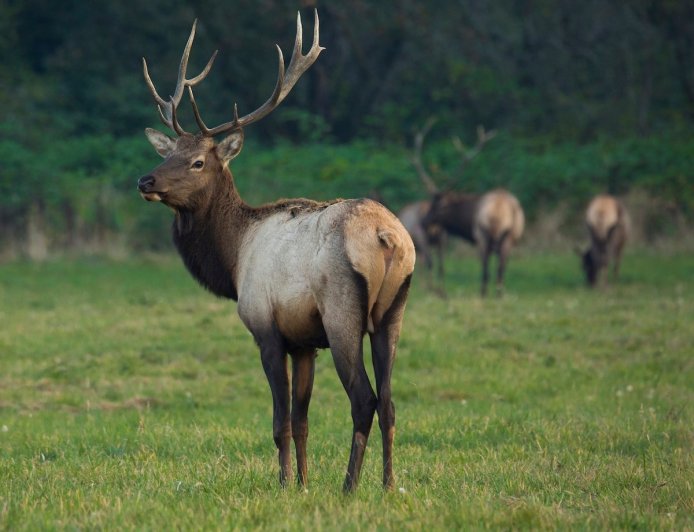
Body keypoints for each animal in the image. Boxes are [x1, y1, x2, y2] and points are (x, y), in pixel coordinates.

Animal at [136, 11, 415, 492]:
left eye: (197, 162)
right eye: (169, 152)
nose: (145, 181)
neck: (233, 259)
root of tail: (387, 237)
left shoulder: (266, 328)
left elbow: (279, 422)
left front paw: (284, 484)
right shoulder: (304, 342)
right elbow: (302, 422)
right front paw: (303, 482)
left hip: (342, 312)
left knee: (364, 398)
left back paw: (349, 486)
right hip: (391, 313)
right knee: (391, 402)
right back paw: (387, 483)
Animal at [409, 120, 524, 297]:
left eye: (439, 206)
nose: (423, 222)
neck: (466, 220)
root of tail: (503, 211)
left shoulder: (477, 235)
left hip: (484, 235)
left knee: (486, 269)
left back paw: (483, 294)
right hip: (509, 237)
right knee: (501, 268)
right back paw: (499, 294)